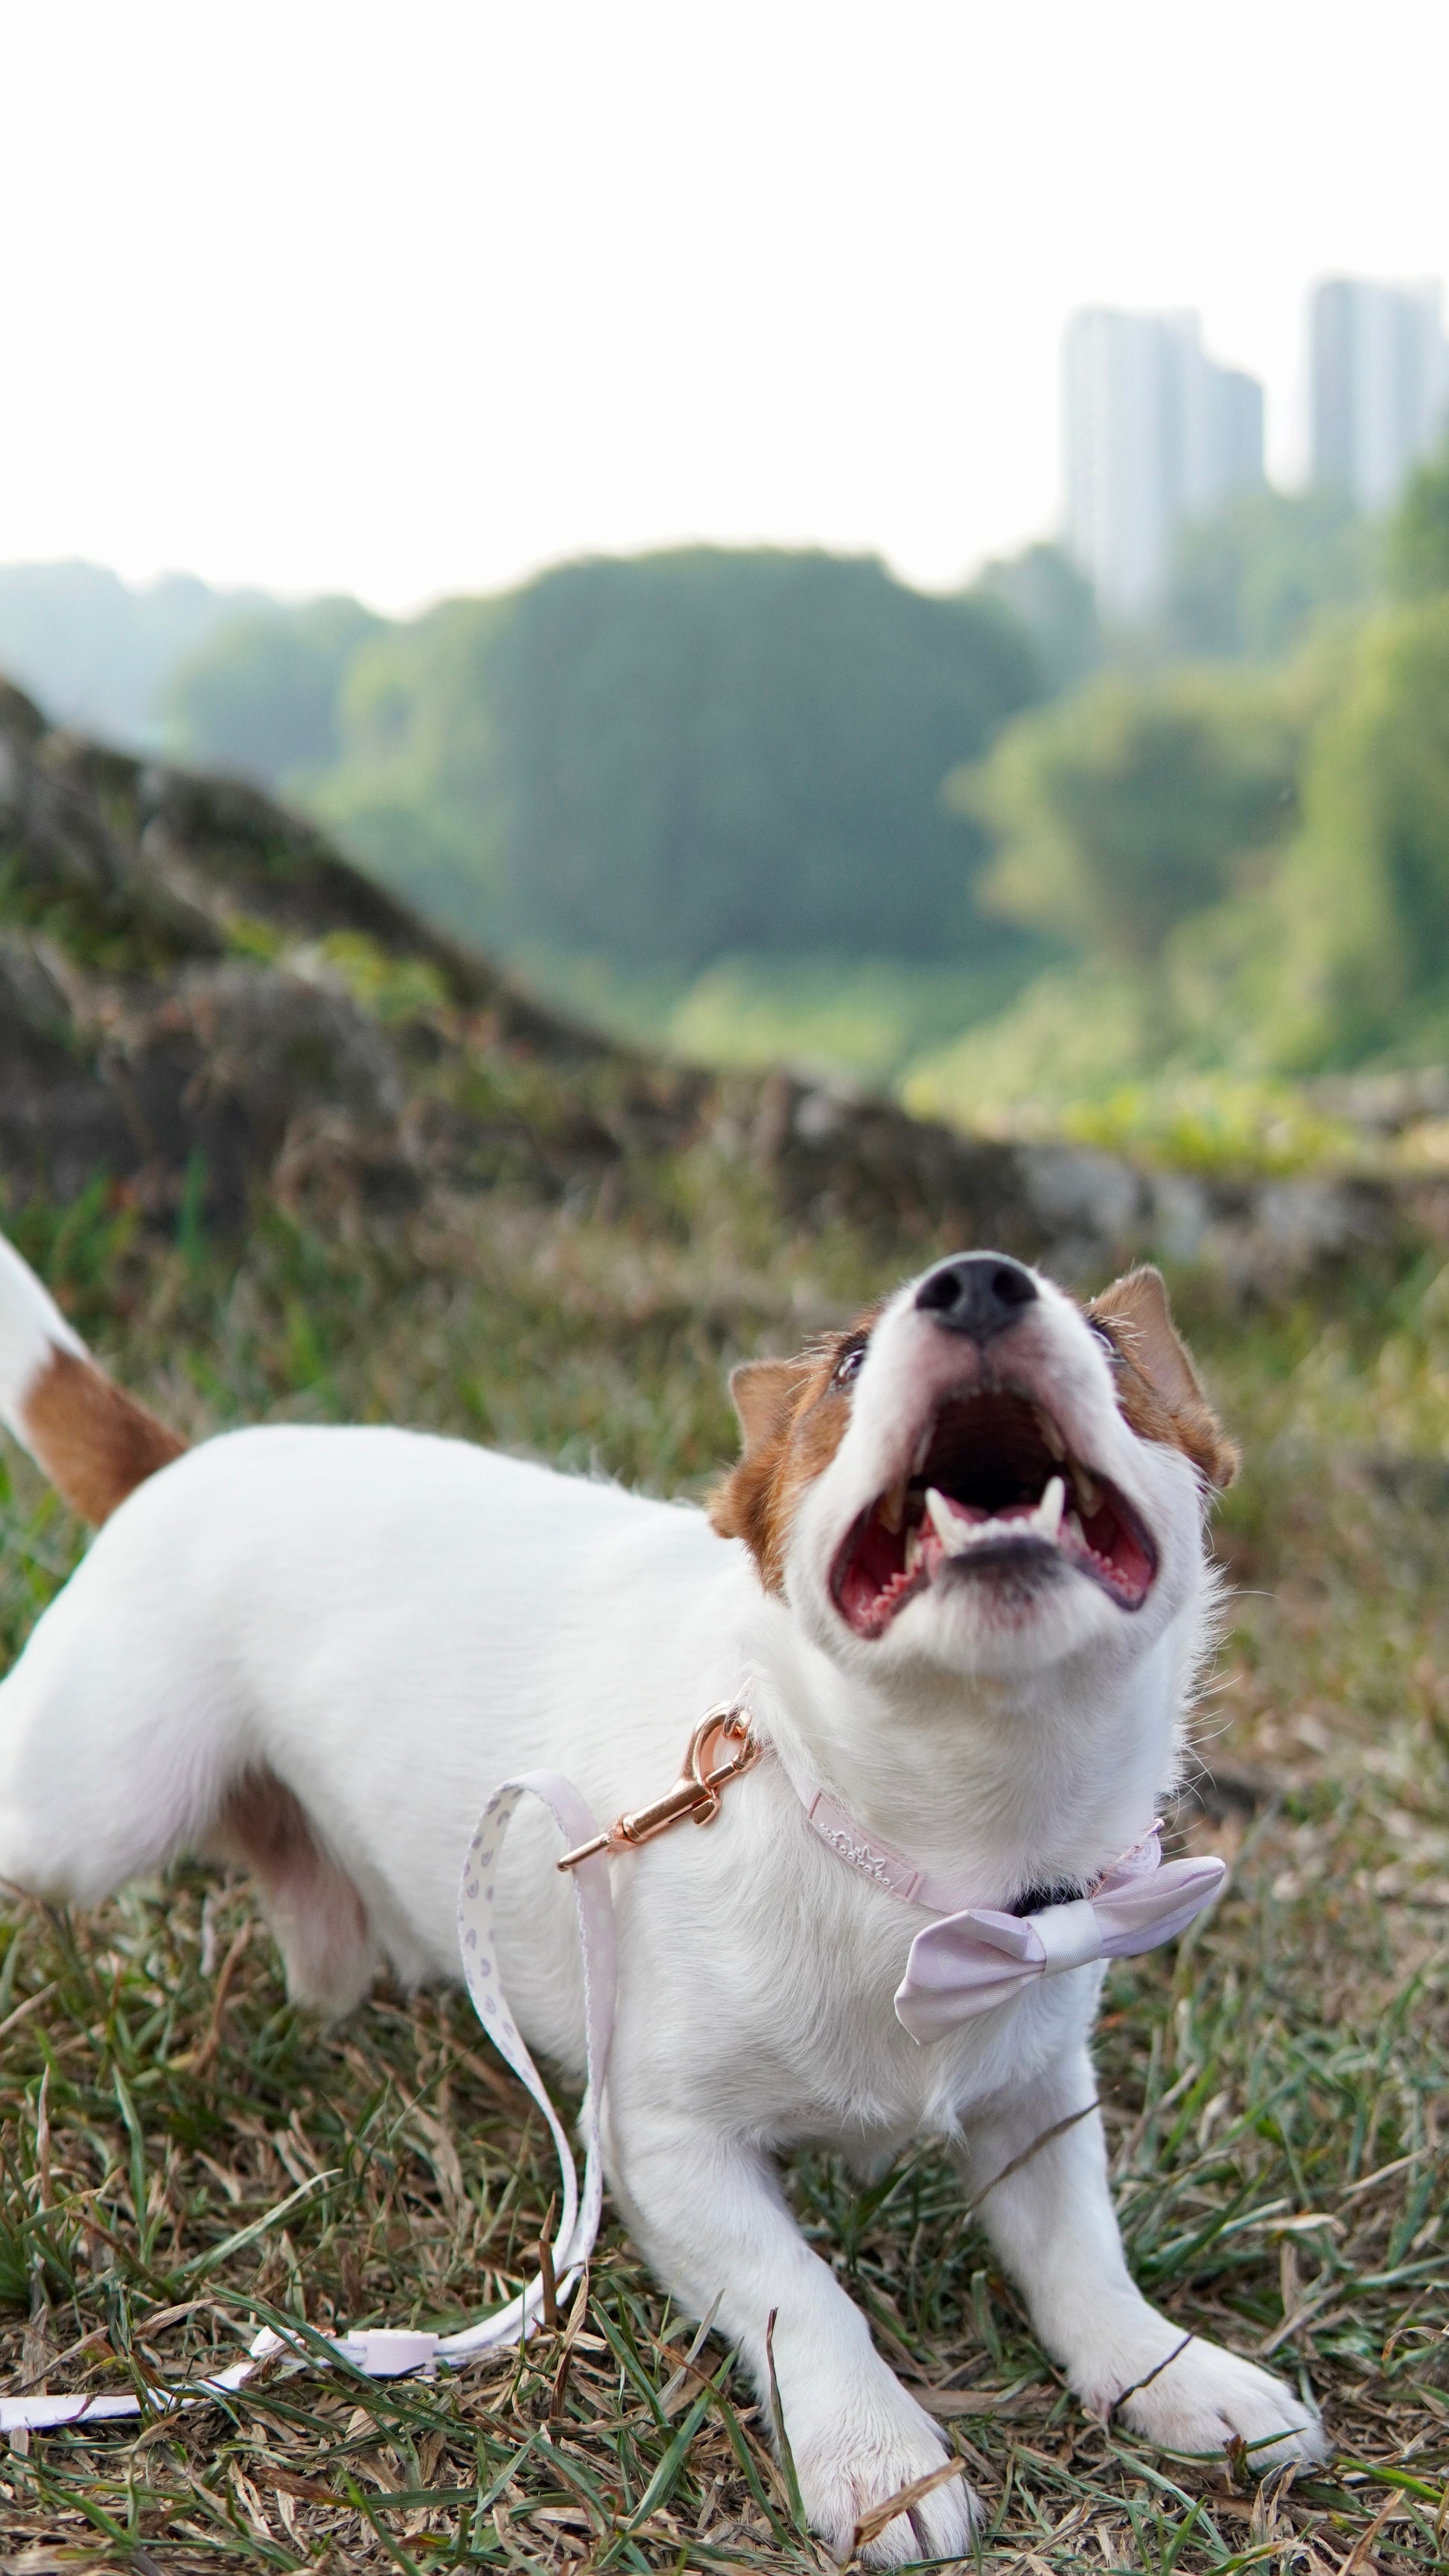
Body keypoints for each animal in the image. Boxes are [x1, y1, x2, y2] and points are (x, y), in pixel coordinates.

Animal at [0, 1231, 1328, 2555]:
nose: (979, 1280)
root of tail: (179, 1460)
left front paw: (1171, 2370)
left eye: (1107, 1344)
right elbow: (806, 2294)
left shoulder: (1034, 2099)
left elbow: (1078, 2253)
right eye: (850, 1361)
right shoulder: (664, 2144)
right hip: (91, 1811)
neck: (926, 1861)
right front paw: (881, 2459)